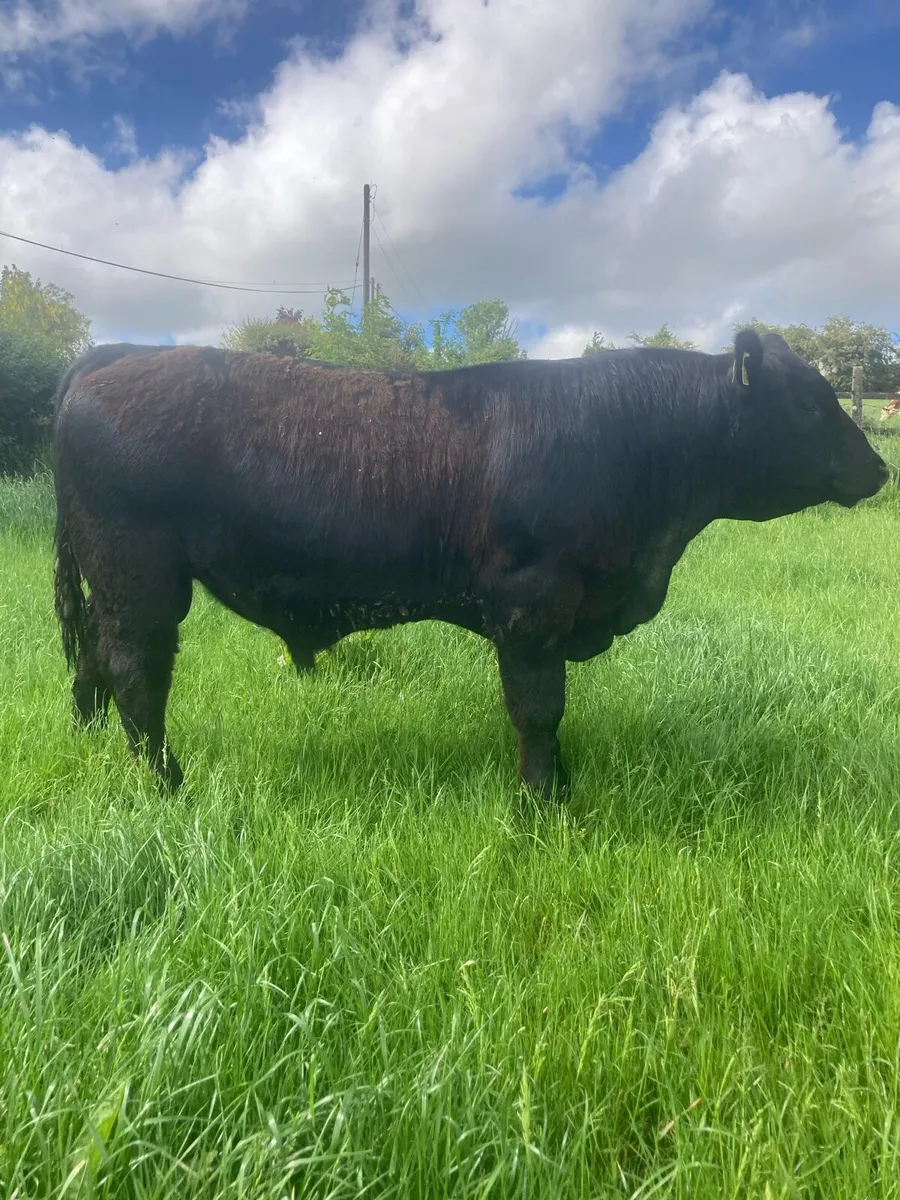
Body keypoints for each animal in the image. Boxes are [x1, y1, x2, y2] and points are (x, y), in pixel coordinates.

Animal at [51, 329, 888, 802]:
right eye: (810, 403)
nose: (880, 468)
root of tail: (115, 355)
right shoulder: (532, 606)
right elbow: (538, 708)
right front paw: (543, 802)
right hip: (139, 572)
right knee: (135, 668)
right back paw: (166, 785)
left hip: (111, 576)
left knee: (93, 654)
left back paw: (90, 746)